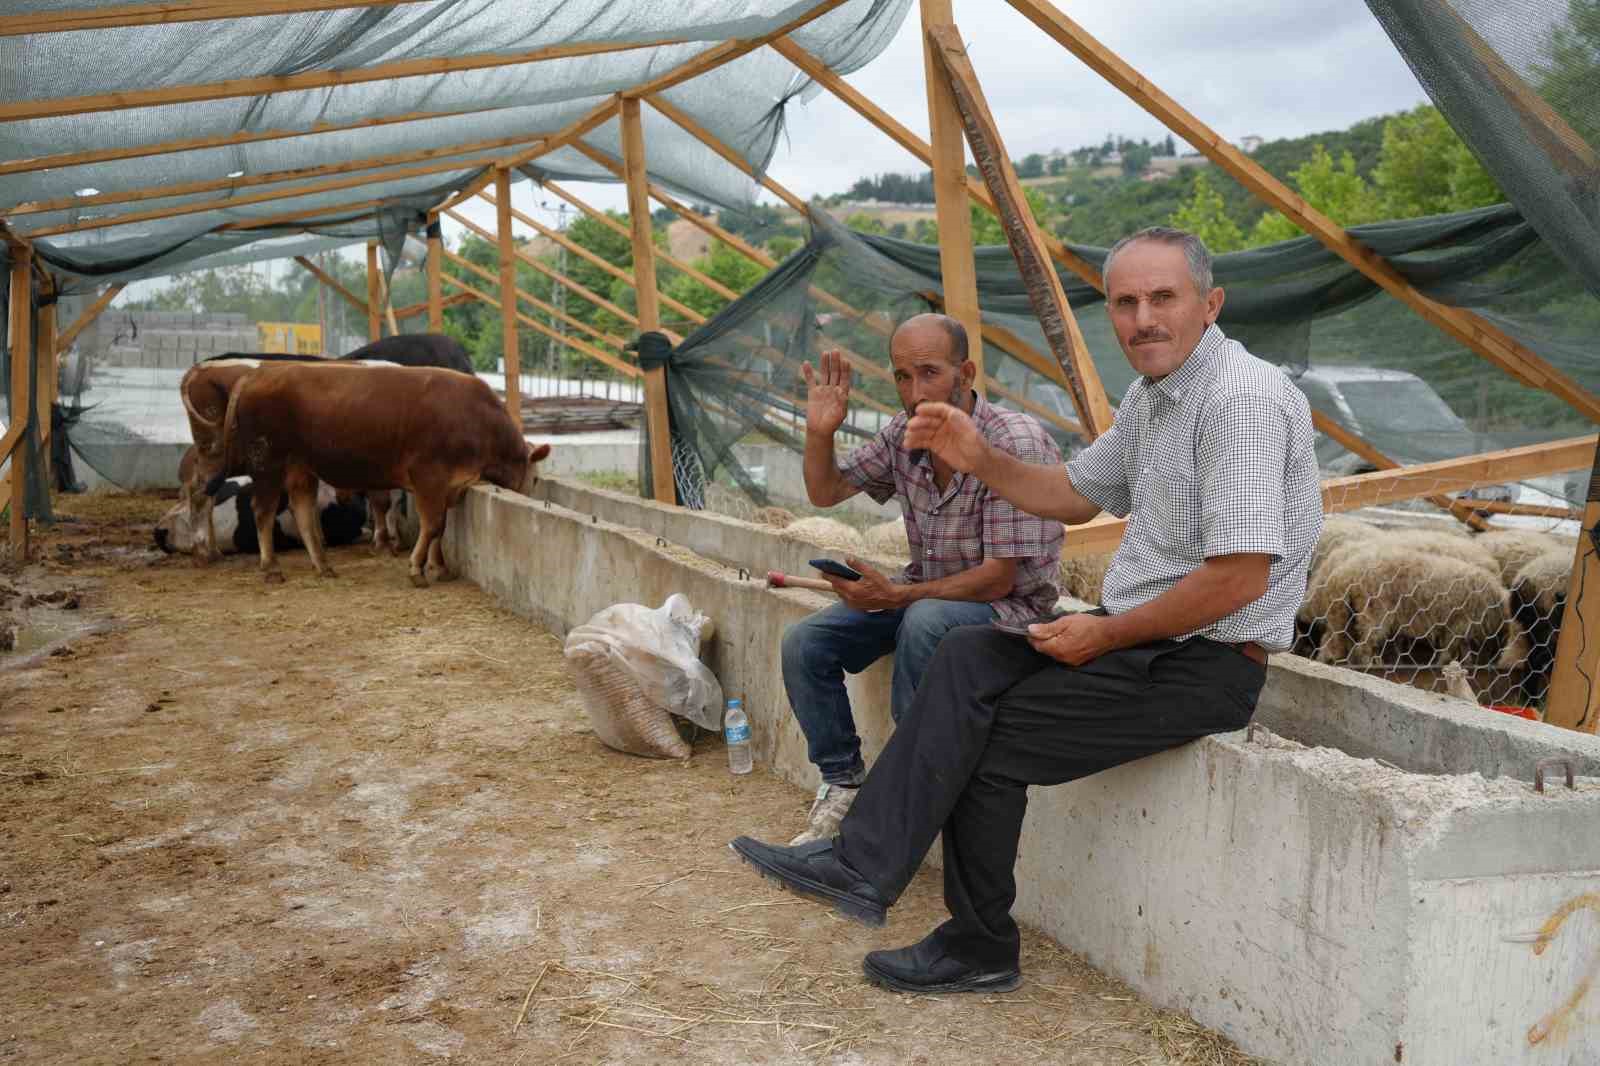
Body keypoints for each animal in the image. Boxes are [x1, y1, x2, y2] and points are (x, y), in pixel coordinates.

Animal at [209, 361, 547, 585]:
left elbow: (440, 528)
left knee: (302, 511)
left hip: (300, 468)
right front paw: (417, 569)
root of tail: (259, 372)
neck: (477, 418)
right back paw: (271, 567)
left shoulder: (448, 486)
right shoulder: (429, 477)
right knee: (263, 512)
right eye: (535, 478)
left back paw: (323, 565)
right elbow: (433, 525)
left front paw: (438, 567)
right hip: (267, 464)